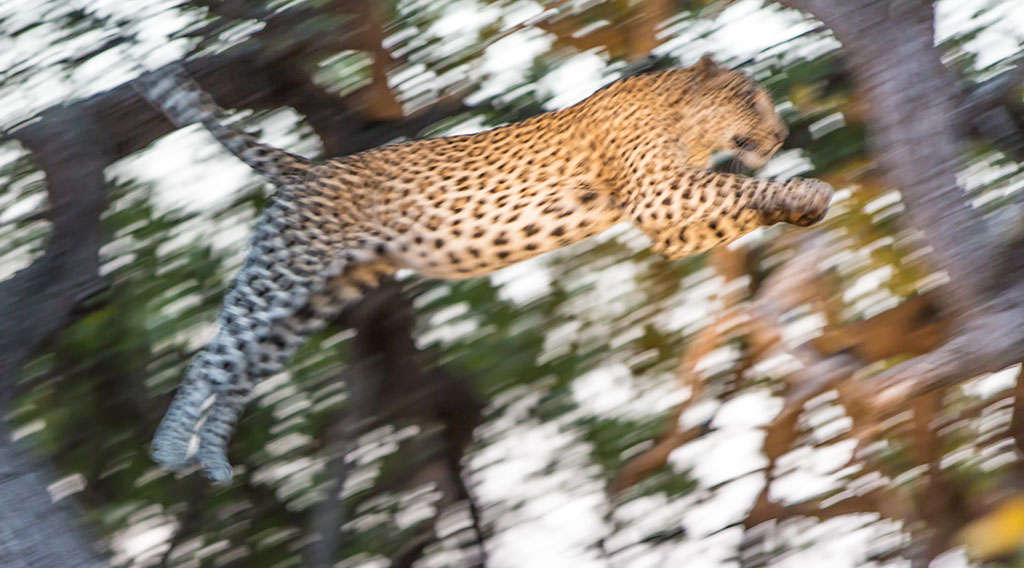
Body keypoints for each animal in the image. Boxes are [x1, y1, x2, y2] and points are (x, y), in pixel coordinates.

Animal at [138, 54, 833, 484]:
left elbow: (734, 204)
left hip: (313, 300)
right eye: (750, 99)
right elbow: (739, 187)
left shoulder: (671, 219)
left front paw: (799, 204)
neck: (683, 118)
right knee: (212, 359)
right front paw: (806, 187)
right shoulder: (662, 193)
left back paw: (213, 464)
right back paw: (169, 450)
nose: (782, 134)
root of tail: (306, 168)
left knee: (240, 375)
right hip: (281, 274)